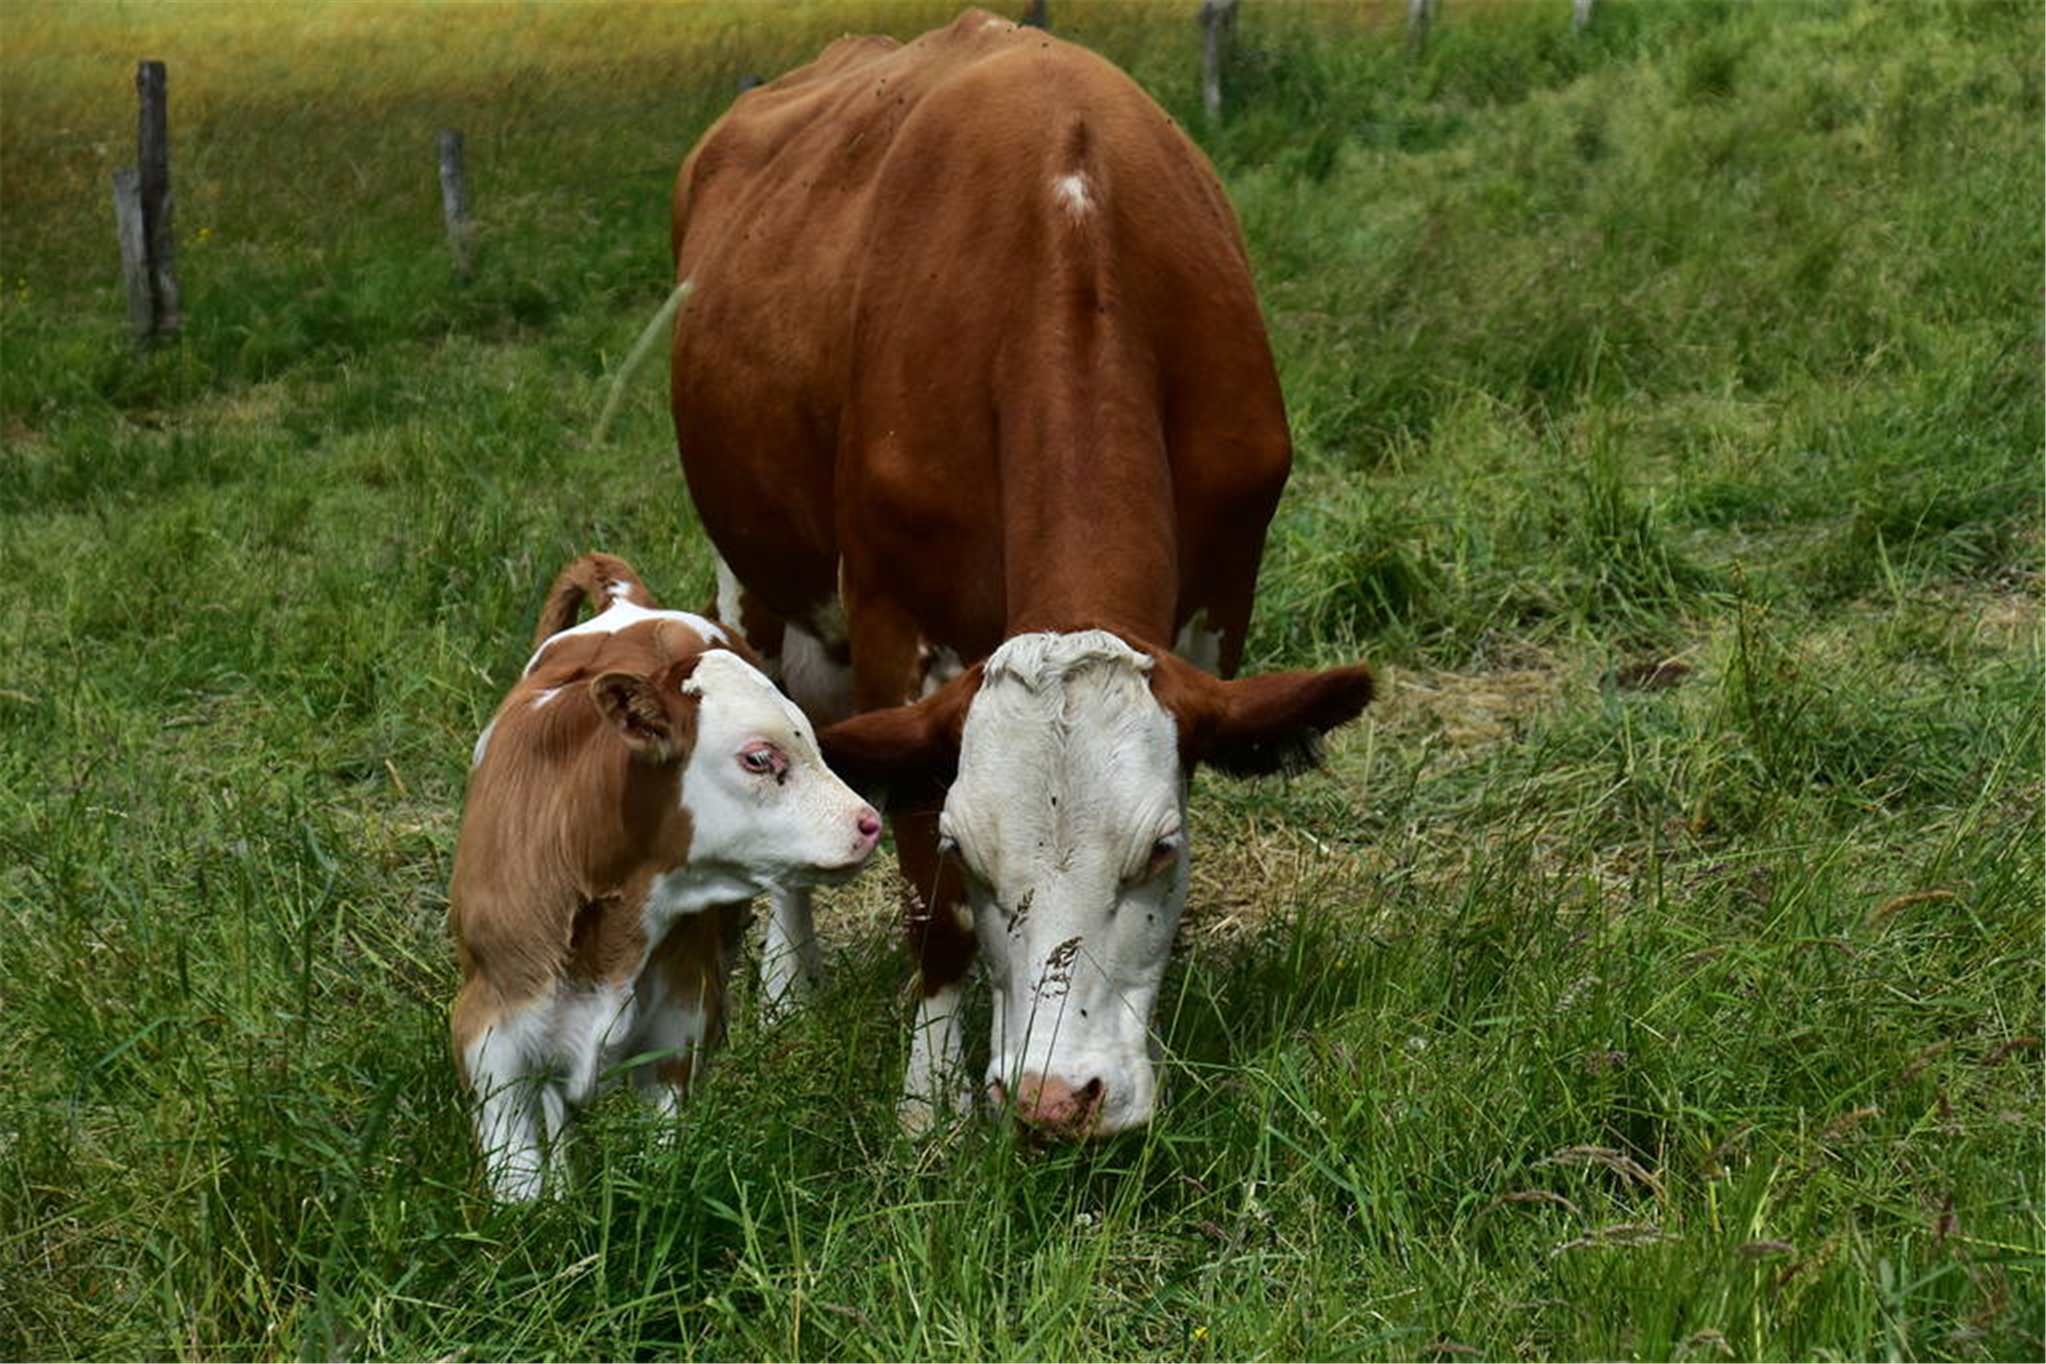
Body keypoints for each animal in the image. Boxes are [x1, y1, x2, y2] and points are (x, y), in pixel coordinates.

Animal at [450, 552, 879, 1194]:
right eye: (759, 757)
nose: (868, 822)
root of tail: (626, 602)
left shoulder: (679, 1022)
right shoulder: (490, 1038)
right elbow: (520, 1180)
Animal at [671, 13, 1374, 1145]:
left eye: (1161, 848)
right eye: (972, 848)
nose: (1054, 1098)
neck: (1069, 219)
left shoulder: (1224, 592)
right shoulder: (894, 622)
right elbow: (930, 903)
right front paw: (930, 1112)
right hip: (750, 577)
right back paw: (787, 993)